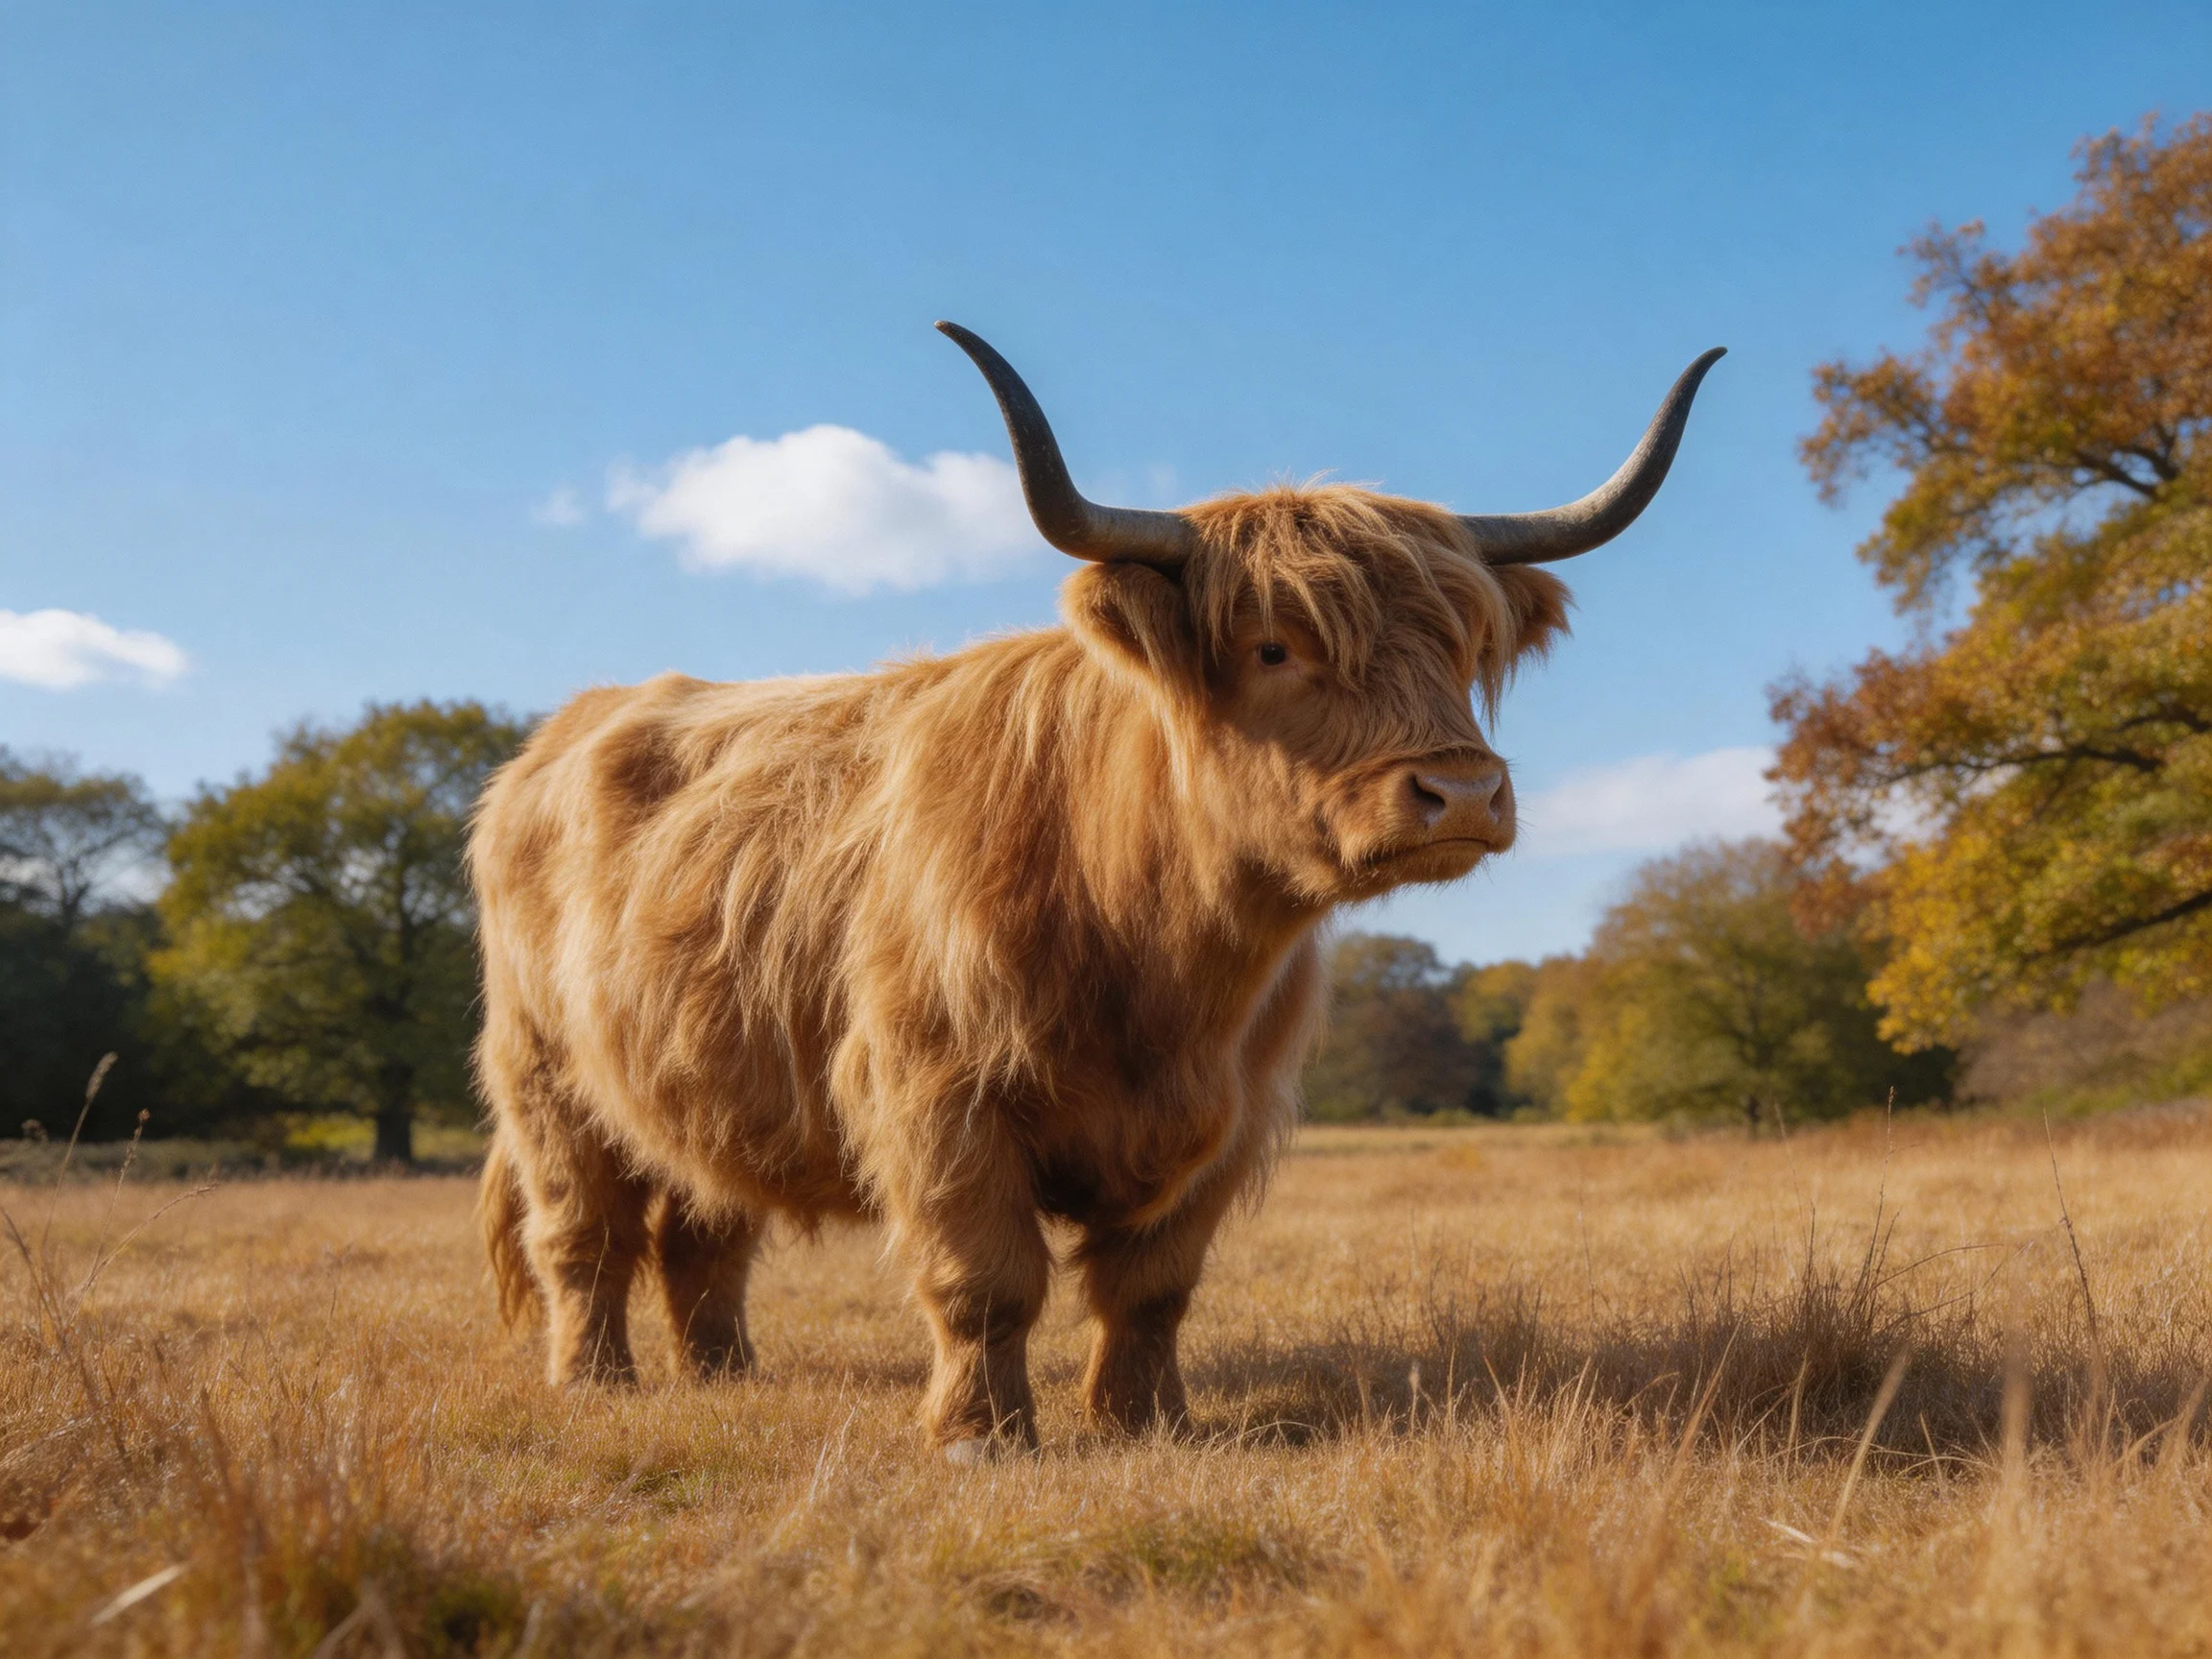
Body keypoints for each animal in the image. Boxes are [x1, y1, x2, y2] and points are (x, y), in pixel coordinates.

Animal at [473, 322, 1722, 1460]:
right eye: (1274, 648)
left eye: (1465, 648)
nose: (1460, 792)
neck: (1156, 955)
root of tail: (558, 735)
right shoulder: (939, 1096)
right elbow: (986, 1283)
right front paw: (979, 1436)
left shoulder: (1227, 1123)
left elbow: (1151, 1287)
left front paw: (1145, 1422)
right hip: (545, 1078)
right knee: (583, 1237)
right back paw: (595, 1383)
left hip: (695, 1081)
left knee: (704, 1229)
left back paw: (725, 1376)